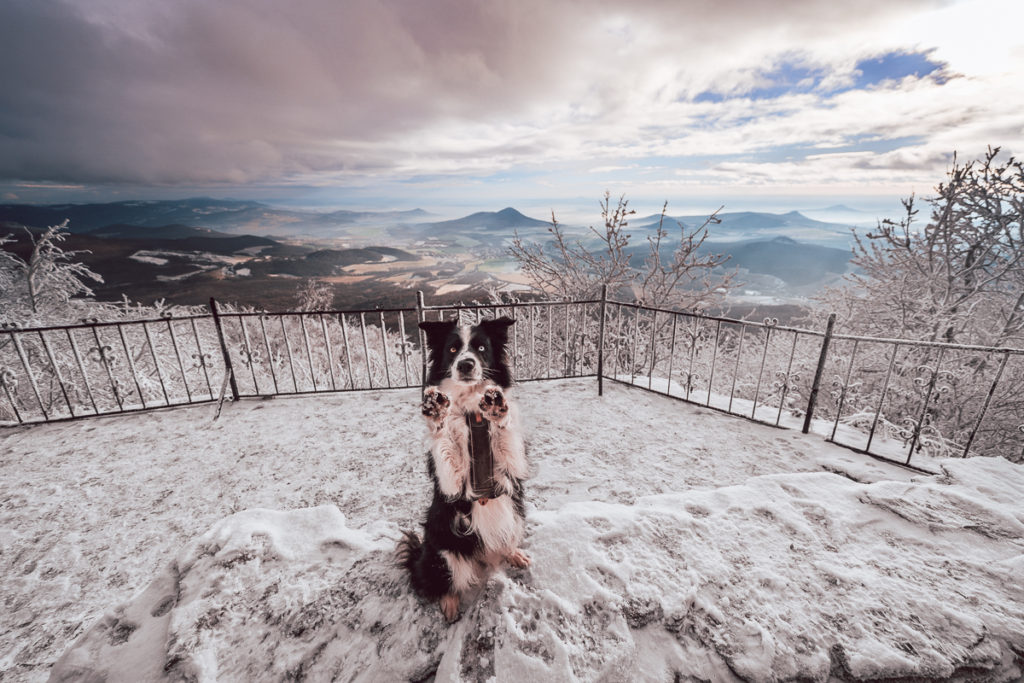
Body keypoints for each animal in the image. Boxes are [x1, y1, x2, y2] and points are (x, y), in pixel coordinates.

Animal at [395, 317, 532, 622]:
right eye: (453, 349)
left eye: (481, 348)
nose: (466, 364)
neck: (473, 411)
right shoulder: (451, 481)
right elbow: (444, 442)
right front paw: (436, 411)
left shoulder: (513, 466)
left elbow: (507, 437)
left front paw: (497, 407)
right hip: (444, 550)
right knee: (444, 581)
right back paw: (449, 604)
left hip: (515, 512)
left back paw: (513, 553)